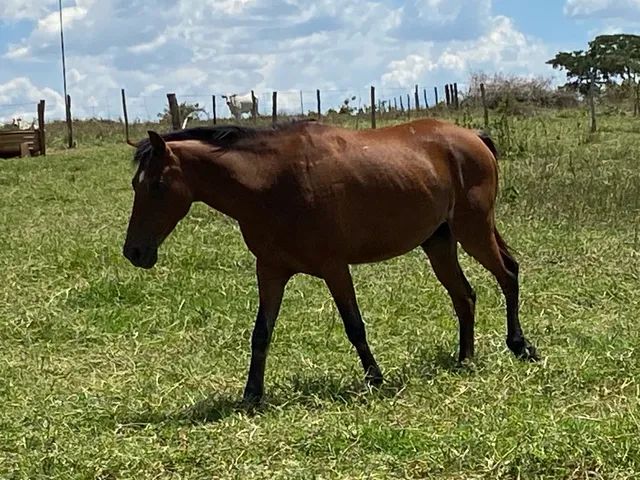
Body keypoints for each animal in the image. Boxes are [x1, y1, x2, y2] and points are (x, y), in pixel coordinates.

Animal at [122, 118, 536, 404]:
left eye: (156, 185)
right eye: (135, 184)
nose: (134, 253)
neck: (271, 183)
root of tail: (473, 137)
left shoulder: (334, 268)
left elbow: (354, 326)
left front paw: (374, 378)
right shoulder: (270, 271)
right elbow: (261, 333)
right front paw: (252, 393)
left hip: (473, 230)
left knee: (507, 274)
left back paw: (520, 346)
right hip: (439, 242)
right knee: (464, 296)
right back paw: (465, 358)